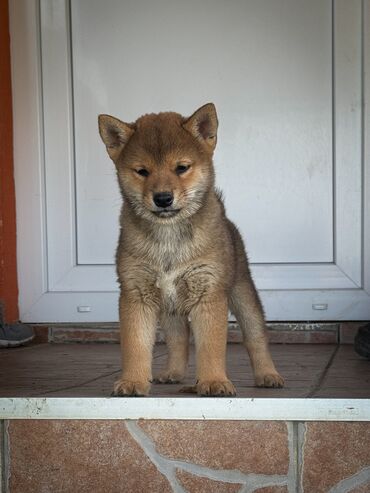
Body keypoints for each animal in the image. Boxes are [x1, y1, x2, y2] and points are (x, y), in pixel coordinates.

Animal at [98, 104, 284, 396]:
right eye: (142, 171)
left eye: (181, 168)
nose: (163, 198)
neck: (169, 236)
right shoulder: (136, 294)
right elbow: (135, 346)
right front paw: (133, 381)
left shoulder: (208, 293)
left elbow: (210, 347)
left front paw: (213, 381)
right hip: (170, 308)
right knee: (179, 339)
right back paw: (173, 373)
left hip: (243, 294)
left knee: (256, 337)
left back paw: (268, 374)